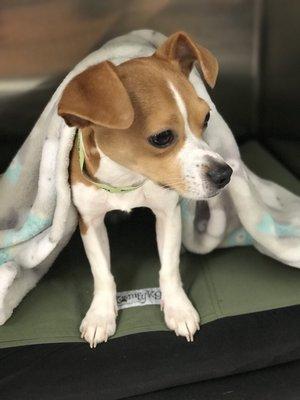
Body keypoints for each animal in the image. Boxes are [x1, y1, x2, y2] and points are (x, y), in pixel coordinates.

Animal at [58, 32, 232, 346]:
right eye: (162, 137)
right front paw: (100, 314)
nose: (225, 174)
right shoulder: (90, 222)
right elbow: (102, 271)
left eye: (206, 118)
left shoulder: (167, 213)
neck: (127, 180)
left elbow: (169, 267)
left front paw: (178, 308)